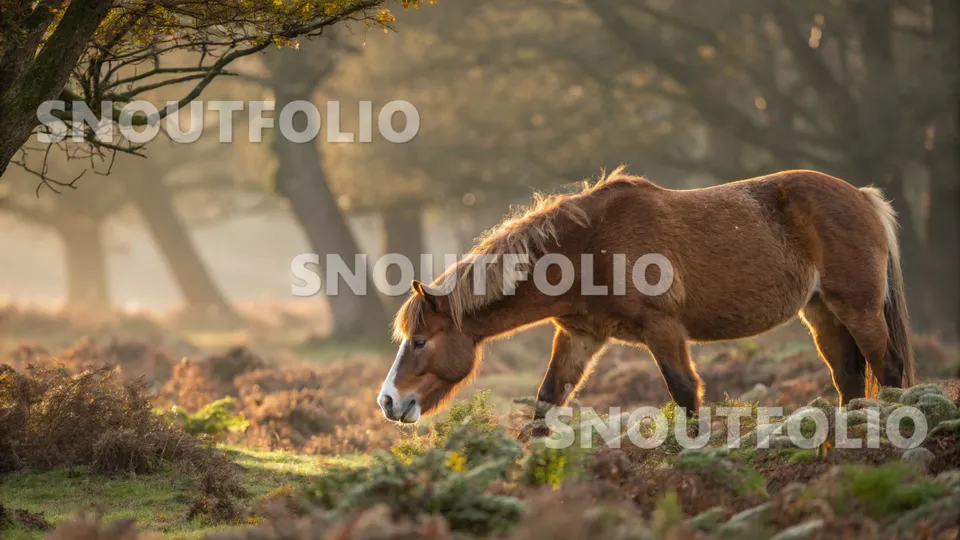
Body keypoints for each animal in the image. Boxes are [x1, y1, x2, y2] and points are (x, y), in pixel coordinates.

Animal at [377, 167, 915, 424]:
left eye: (420, 342)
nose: (387, 401)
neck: (588, 247)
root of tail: (862, 196)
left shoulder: (663, 330)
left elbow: (685, 394)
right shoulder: (580, 338)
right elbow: (546, 402)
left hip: (858, 308)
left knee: (888, 370)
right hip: (822, 313)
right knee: (849, 380)